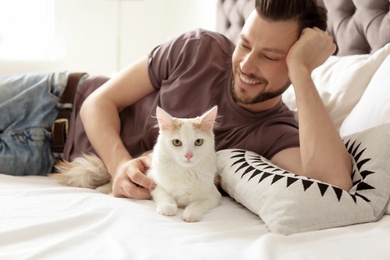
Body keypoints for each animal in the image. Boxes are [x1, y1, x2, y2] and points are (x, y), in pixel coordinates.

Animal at [49, 106, 221, 222]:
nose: (188, 155)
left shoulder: (213, 195)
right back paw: (103, 190)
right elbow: (165, 195)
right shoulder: (153, 181)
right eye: (177, 142)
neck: (186, 172)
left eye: (198, 142)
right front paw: (168, 208)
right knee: (112, 182)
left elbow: (199, 203)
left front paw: (190, 213)